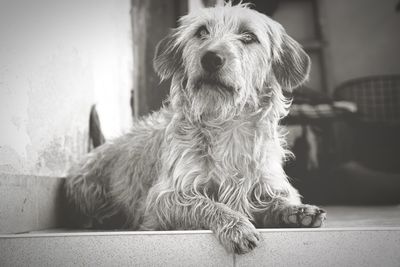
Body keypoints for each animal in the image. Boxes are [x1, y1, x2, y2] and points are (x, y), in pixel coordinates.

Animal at [64, 2, 326, 255]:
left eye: (248, 36)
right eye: (201, 32)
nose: (211, 58)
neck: (227, 124)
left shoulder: (266, 184)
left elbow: (277, 200)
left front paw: (297, 211)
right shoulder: (164, 198)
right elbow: (207, 203)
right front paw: (236, 225)